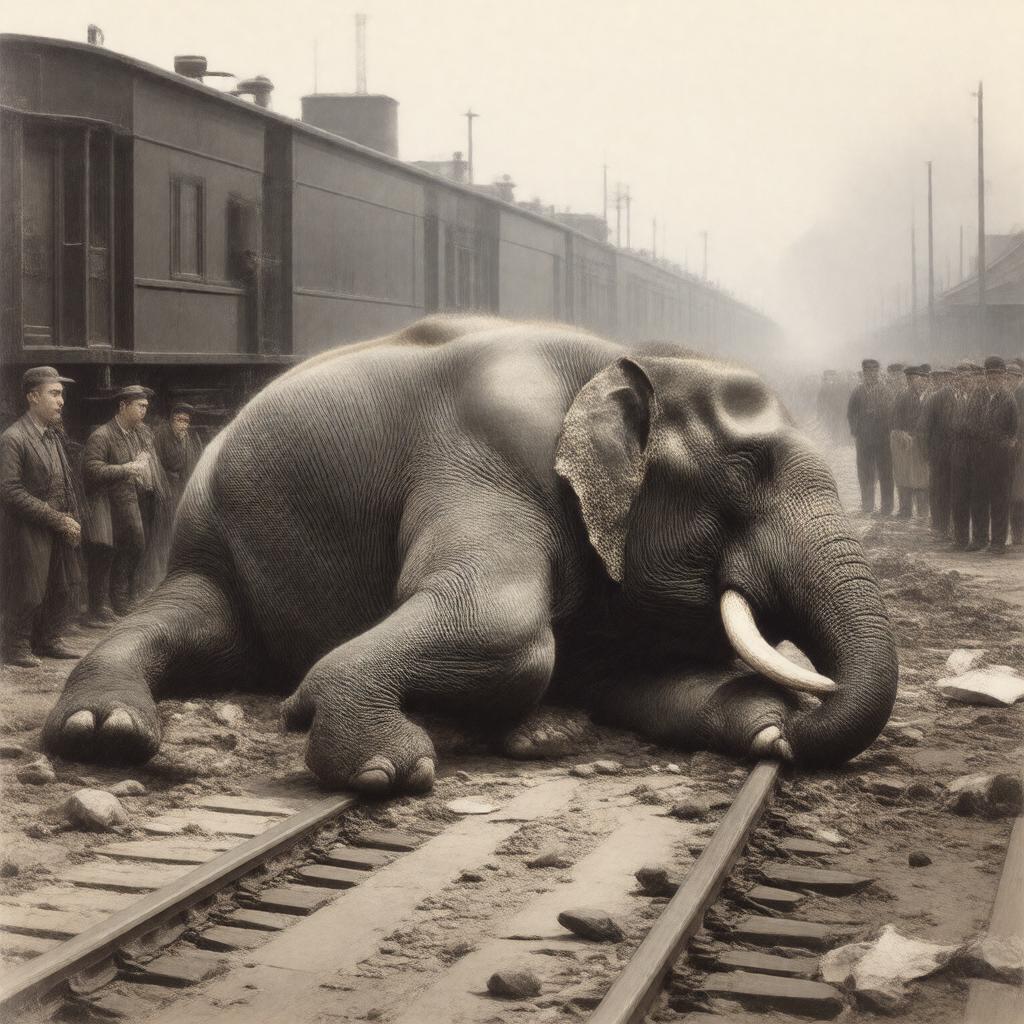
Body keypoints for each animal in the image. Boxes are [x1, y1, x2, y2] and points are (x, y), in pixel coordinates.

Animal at [42, 316, 898, 794]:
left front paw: (767, 729)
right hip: (213, 532)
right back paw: (102, 730)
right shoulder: (490, 455)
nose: (799, 728)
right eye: (748, 469)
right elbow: (504, 626)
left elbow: (639, 679)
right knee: (189, 622)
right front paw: (384, 767)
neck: (623, 360)